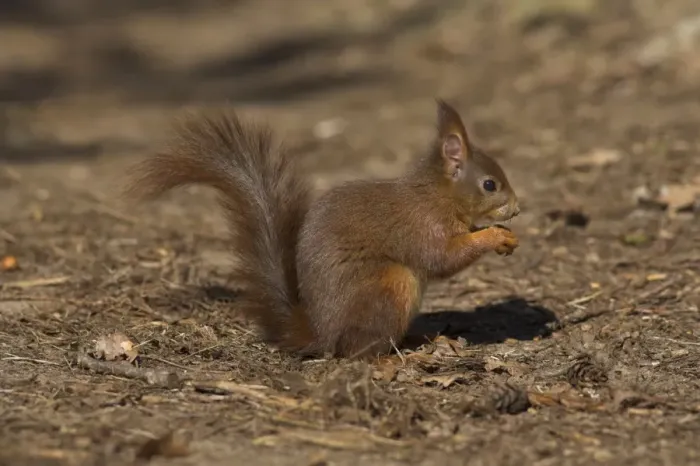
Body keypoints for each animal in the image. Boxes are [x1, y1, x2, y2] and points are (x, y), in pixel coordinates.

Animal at [123, 100, 520, 360]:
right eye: (489, 184)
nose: (517, 209)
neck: (438, 194)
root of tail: (320, 332)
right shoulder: (423, 225)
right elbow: (443, 258)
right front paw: (494, 236)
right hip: (391, 285)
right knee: (356, 351)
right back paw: (401, 351)